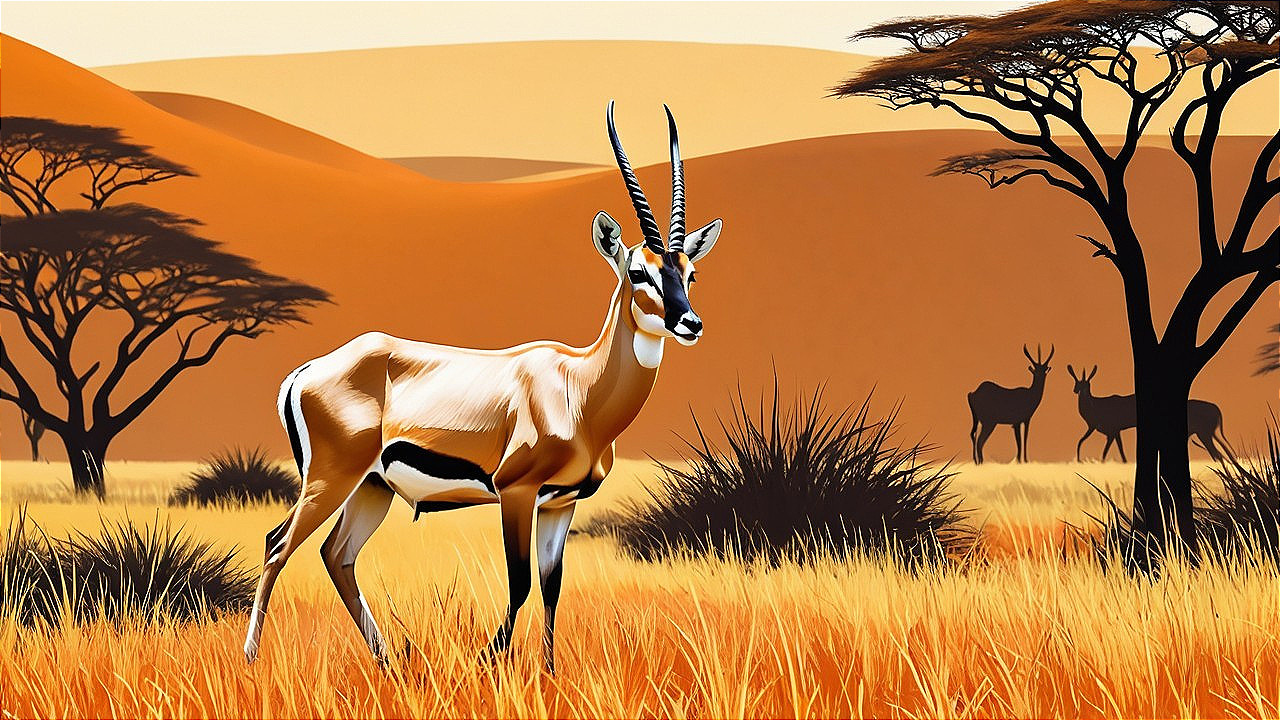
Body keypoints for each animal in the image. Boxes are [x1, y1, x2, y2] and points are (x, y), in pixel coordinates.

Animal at [241, 102, 722, 674]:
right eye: (639, 272)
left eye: (689, 273)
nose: (691, 323)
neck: (578, 388)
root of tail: (306, 372)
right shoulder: (516, 492)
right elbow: (519, 584)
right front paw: (490, 661)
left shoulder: (560, 504)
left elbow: (552, 586)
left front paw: (548, 672)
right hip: (330, 481)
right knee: (277, 544)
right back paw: (252, 659)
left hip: (372, 488)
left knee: (336, 555)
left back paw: (391, 661)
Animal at [1067, 364, 1232, 462]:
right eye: (1076, 382)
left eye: (1087, 384)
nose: (1076, 390)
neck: (1094, 409)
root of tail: (1217, 410)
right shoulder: (1114, 430)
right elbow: (1118, 452)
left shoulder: (1110, 429)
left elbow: (1104, 451)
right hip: (1205, 433)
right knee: (1221, 453)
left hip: (1203, 433)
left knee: (1218, 454)